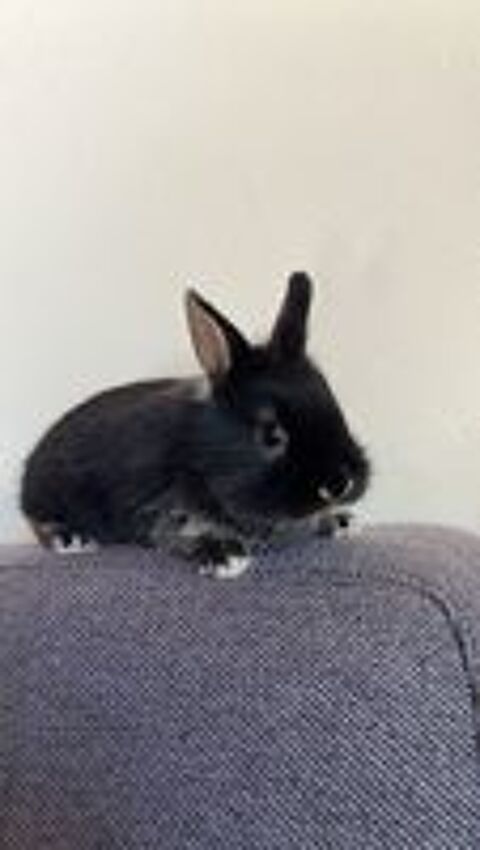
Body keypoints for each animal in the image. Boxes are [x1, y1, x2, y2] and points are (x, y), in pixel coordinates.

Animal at [21, 272, 371, 577]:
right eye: (271, 434)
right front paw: (225, 557)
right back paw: (71, 539)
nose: (341, 484)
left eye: (335, 406)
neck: (204, 453)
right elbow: (181, 535)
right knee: (38, 524)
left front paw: (342, 521)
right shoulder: (161, 508)